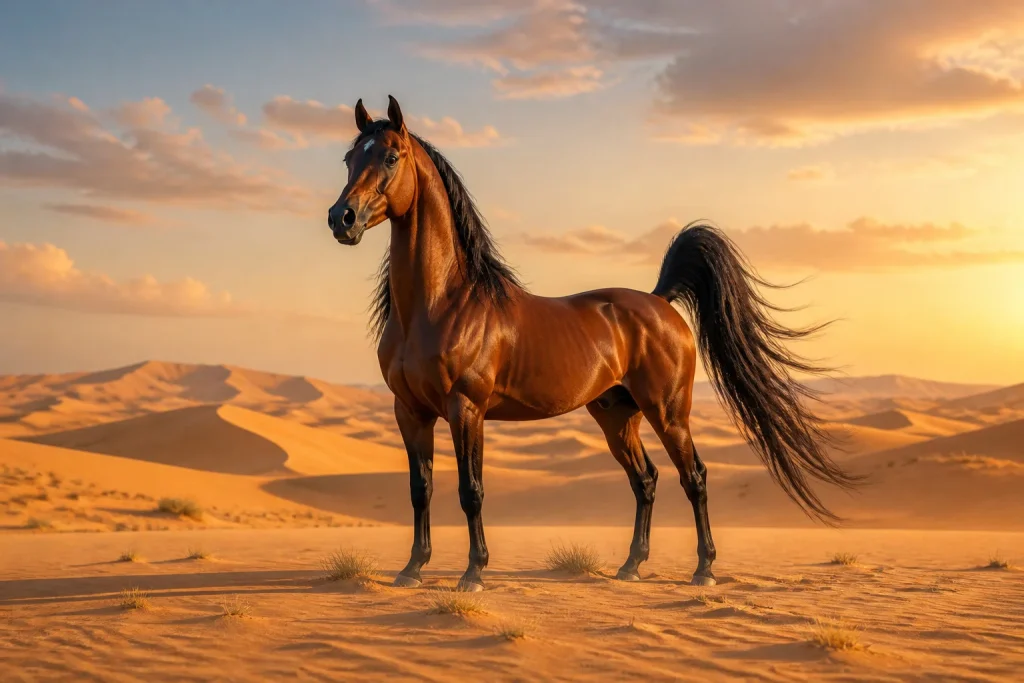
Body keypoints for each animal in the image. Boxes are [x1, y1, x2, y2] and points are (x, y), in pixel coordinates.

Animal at [326, 96, 856, 591]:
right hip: (616, 415)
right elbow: (420, 489)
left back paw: (703, 570)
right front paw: (412, 569)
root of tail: (660, 301)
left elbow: (470, 490)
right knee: (645, 480)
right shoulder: (410, 411)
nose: (341, 218)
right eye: (350, 158)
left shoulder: (466, 409)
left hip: (668, 413)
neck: (441, 303)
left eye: (391, 156)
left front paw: (474, 573)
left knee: (694, 477)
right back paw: (631, 567)